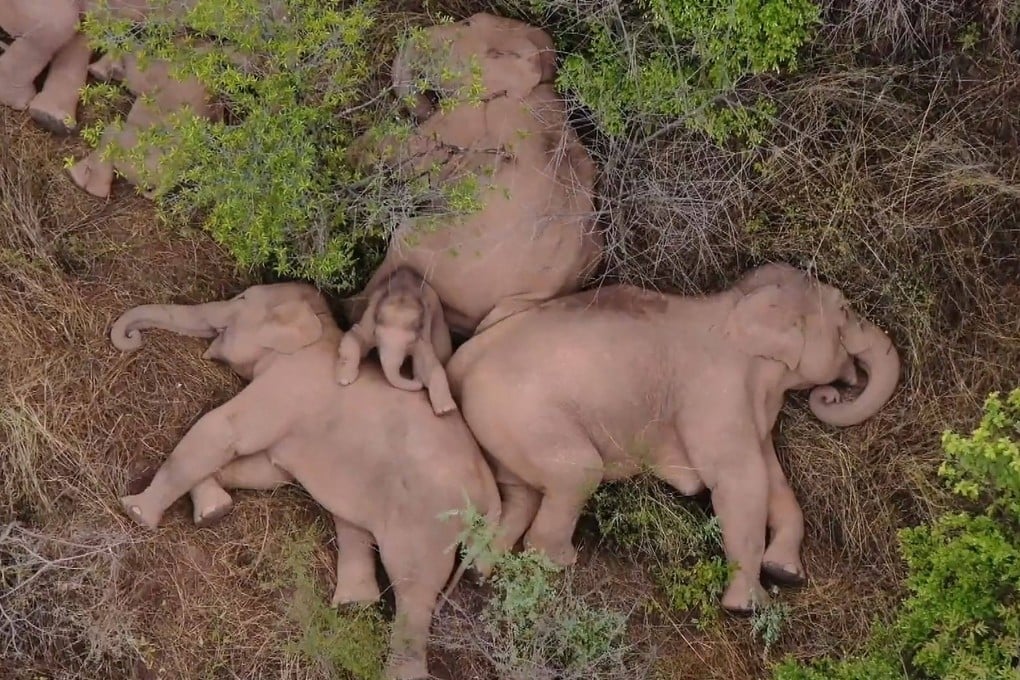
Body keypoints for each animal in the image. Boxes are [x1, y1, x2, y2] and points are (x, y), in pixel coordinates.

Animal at [108, 281, 501, 680]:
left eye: (241, 300)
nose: (132, 338)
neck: (320, 328)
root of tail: (491, 492)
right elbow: (267, 471)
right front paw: (213, 510)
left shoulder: (287, 384)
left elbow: (224, 431)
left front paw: (136, 512)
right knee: (355, 528)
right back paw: (353, 605)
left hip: (429, 520)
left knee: (413, 587)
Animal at [337, 266, 457, 416]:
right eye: (376, 334)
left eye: (411, 342)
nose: (417, 380)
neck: (403, 296)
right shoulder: (369, 319)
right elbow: (355, 336)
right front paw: (344, 380)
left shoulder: (423, 336)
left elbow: (430, 363)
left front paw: (446, 410)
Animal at [445, 262, 901, 613]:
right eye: (845, 310)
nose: (832, 393)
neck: (736, 303)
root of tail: (462, 359)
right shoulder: (714, 393)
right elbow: (740, 481)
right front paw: (747, 607)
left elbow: (773, 480)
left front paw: (785, 573)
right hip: (522, 414)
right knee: (577, 474)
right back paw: (560, 563)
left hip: (501, 428)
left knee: (520, 493)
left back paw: (481, 573)